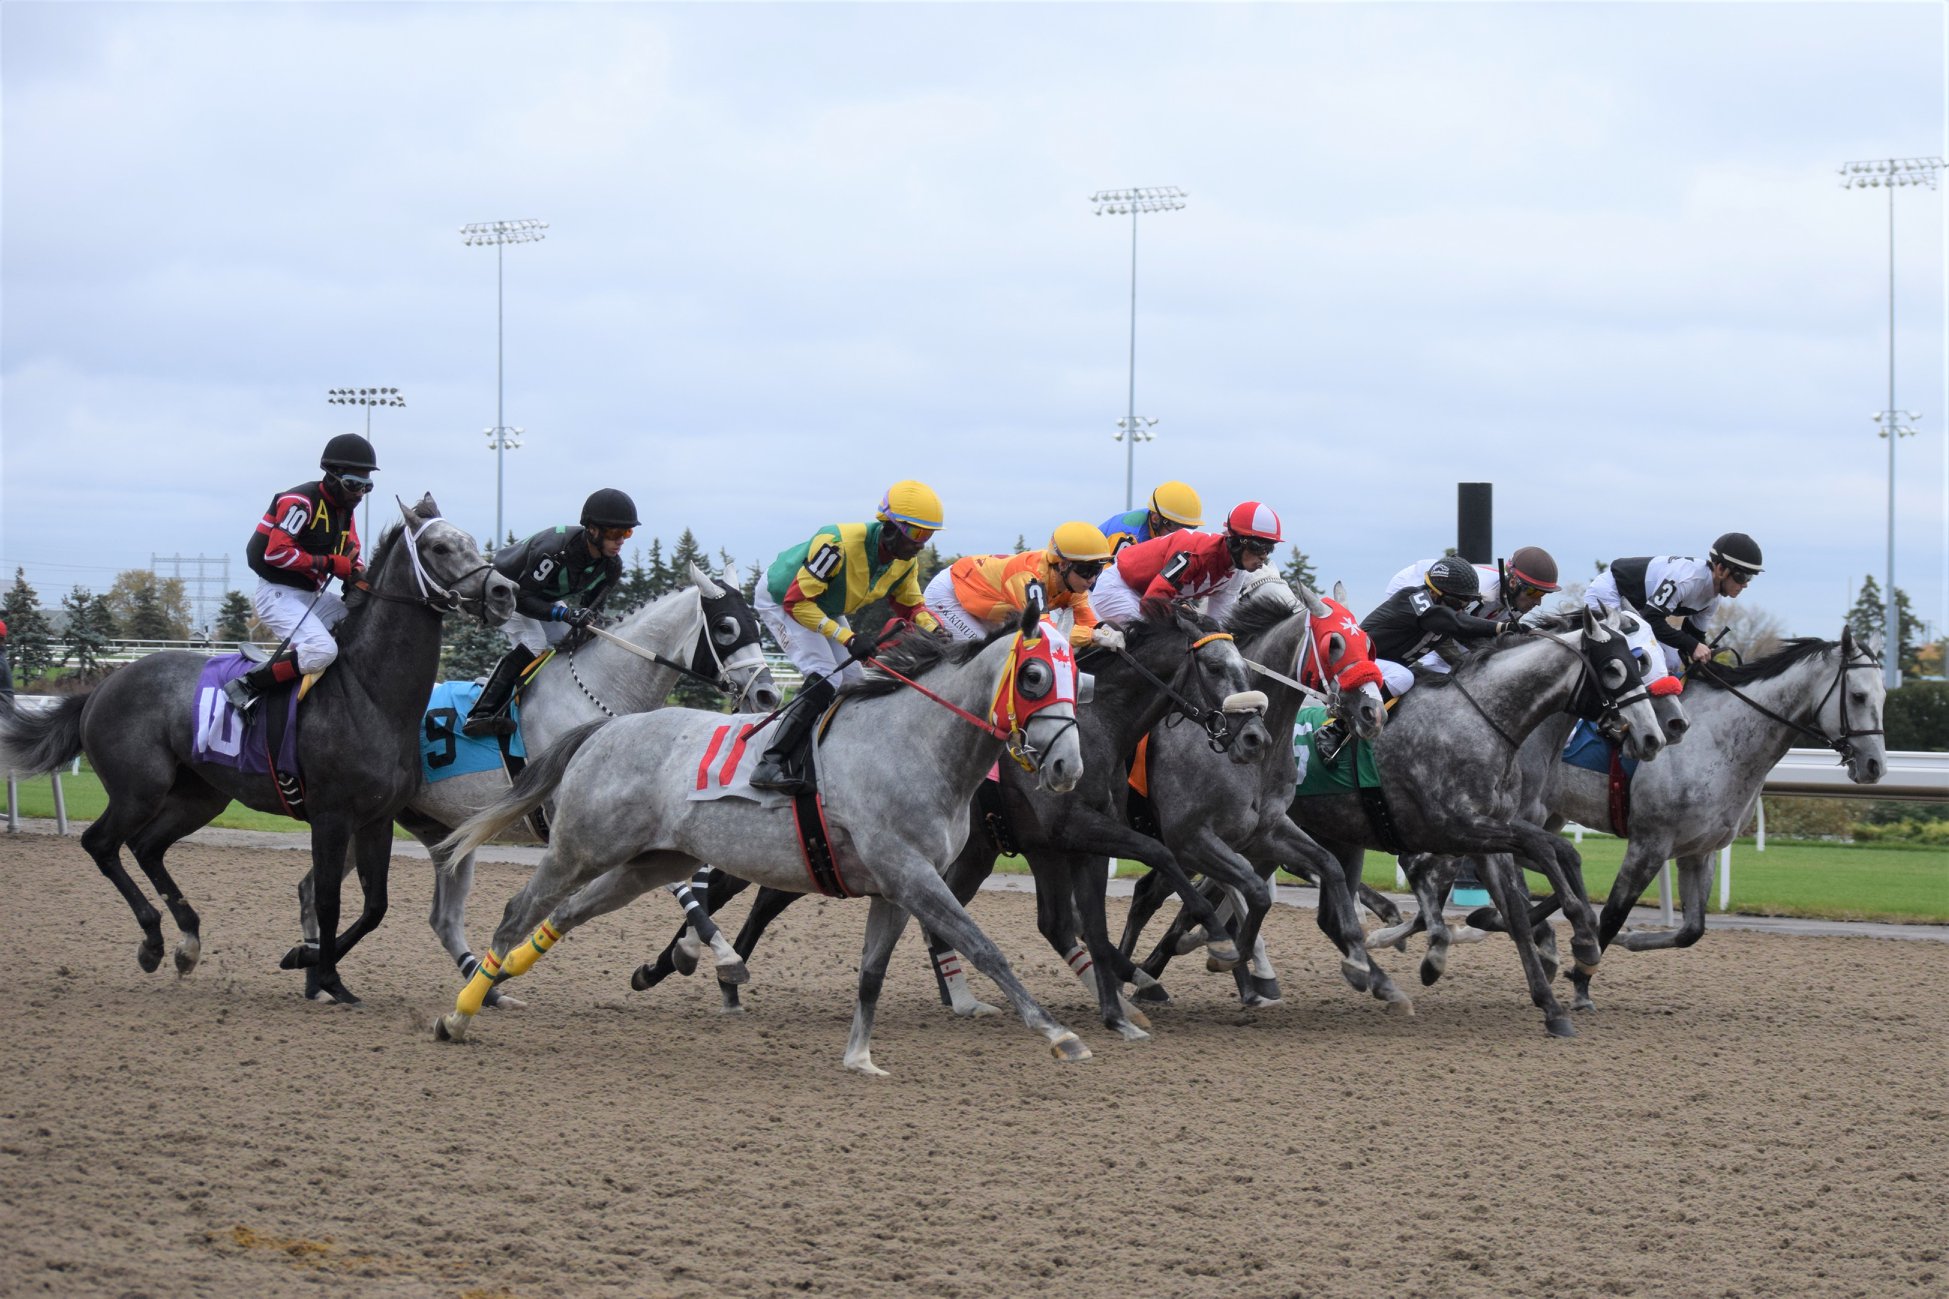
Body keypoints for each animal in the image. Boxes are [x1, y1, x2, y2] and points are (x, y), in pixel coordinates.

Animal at [0, 495, 514, 998]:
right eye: (440, 548)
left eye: (470, 541)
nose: (503, 591)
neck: (370, 694)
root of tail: (102, 687)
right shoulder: (331, 816)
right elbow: (328, 900)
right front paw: (324, 974)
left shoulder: (377, 817)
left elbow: (375, 907)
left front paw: (309, 961)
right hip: (138, 790)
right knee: (102, 844)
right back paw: (152, 941)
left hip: (200, 796)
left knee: (147, 847)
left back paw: (187, 942)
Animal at [288, 557, 775, 990]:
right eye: (727, 627)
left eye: (757, 624)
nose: (767, 694)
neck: (598, 693)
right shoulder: (594, 823)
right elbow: (681, 887)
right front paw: (716, 954)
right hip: (359, 817)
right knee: (316, 888)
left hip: (409, 825)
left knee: (343, 895)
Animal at [434, 612, 1099, 1068]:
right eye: (1035, 674)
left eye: (1081, 676)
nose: (1068, 767)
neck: (913, 741)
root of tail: (605, 729)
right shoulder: (910, 871)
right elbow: (985, 946)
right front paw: (1059, 1033)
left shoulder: (896, 884)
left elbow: (871, 973)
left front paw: (859, 1058)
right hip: (581, 845)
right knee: (518, 910)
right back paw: (462, 1013)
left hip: (649, 862)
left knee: (565, 914)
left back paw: (501, 981)